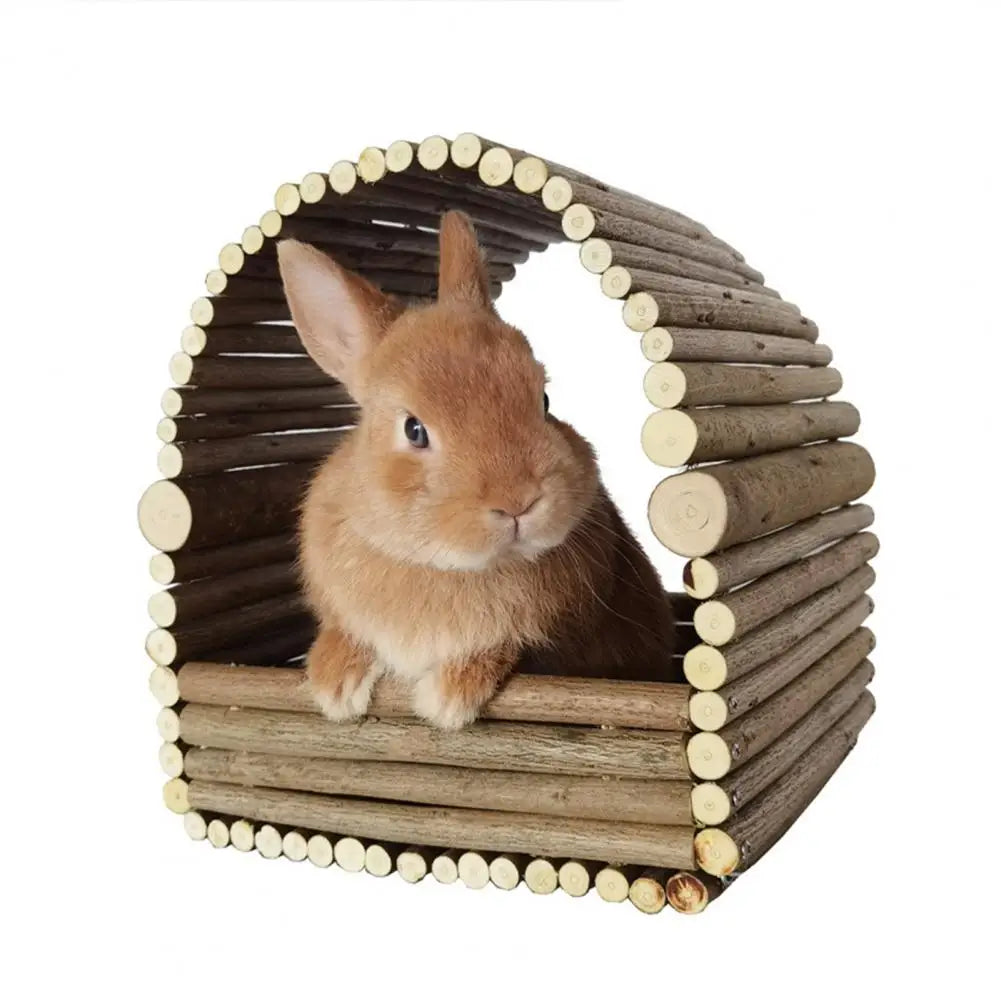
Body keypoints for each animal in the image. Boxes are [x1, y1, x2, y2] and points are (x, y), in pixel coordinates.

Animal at [276, 211, 677, 729]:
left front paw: (449, 700)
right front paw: (334, 686)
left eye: (544, 400)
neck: (445, 566)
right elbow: (343, 632)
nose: (518, 502)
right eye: (414, 430)